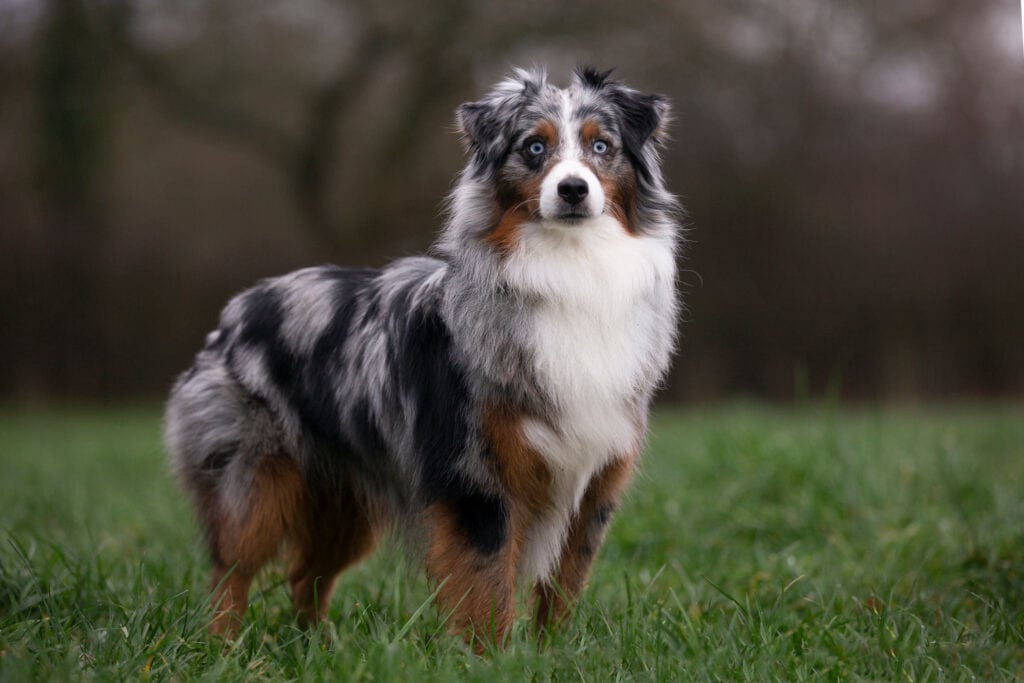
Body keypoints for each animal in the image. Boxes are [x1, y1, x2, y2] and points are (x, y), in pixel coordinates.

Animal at [165, 66, 679, 651]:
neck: (571, 267)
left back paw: (318, 649)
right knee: (231, 569)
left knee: (306, 575)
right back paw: (221, 648)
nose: (573, 189)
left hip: (344, 498)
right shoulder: (475, 477)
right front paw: (492, 658)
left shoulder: (595, 484)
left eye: (601, 146)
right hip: (256, 481)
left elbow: (563, 588)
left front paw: (555, 653)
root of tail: (234, 313)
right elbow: (487, 584)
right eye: (533, 147)